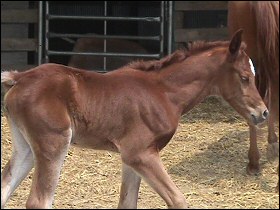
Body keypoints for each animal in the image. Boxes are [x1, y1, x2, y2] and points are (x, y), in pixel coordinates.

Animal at [1, 29, 270, 208]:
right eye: (245, 77)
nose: (263, 112)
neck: (163, 93)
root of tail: (19, 77)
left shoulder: (131, 158)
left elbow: (128, 202)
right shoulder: (140, 153)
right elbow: (178, 200)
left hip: (26, 147)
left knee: (5, 187)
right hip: (54, 143)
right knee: (39, 201)